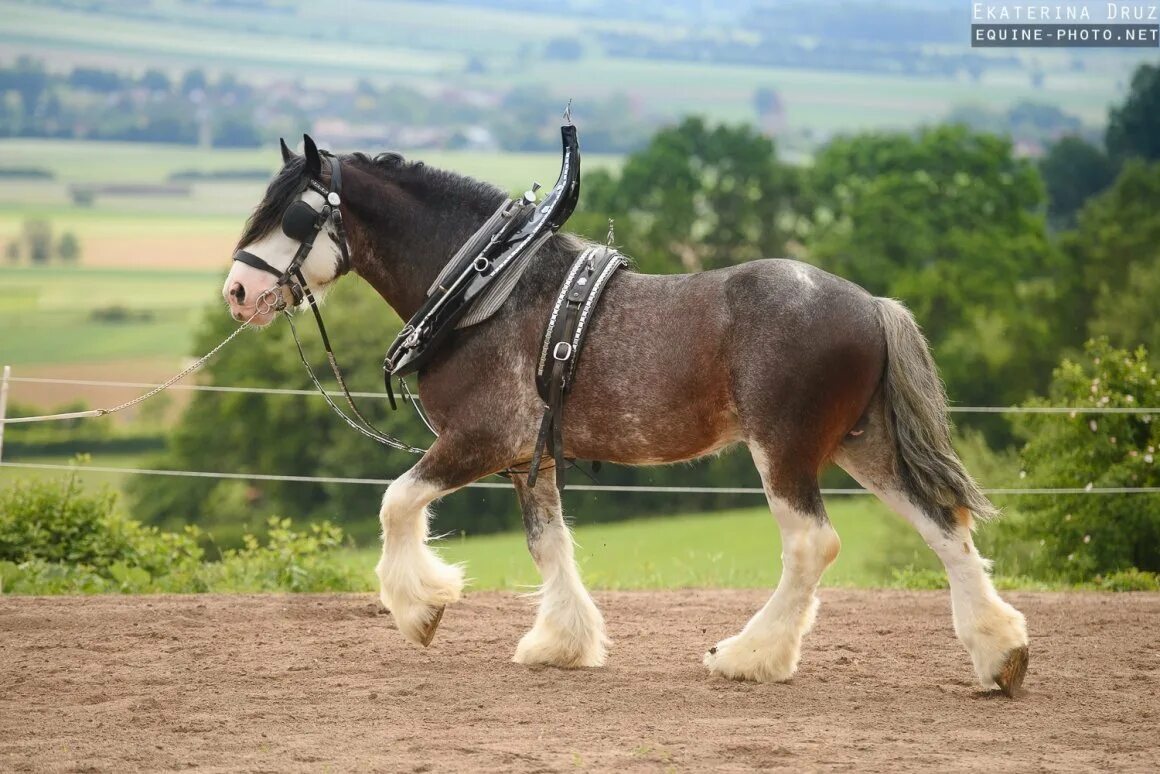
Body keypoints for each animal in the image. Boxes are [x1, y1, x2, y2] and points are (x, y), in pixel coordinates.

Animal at [221, 134, 1030, 696]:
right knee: (943, 526)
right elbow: (548, 545)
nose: (236, 291)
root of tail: (871, 303)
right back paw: (1001, 652)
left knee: (811, 545)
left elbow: (396, 502)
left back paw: (749, 656)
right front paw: (563, 643)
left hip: (786, 449)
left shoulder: (480, 438)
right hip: (865, 446)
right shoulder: (528, 457)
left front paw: (421, 607)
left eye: (293, 214)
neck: (485, 289)